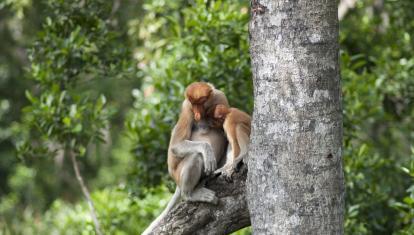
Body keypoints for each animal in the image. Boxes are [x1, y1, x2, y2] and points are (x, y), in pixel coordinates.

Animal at [142, 81, 226, 234]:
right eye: (193, 104)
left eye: (201, 102)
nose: (197, 114)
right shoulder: (186, 108)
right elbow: (176, 145)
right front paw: (208, 151)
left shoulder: (221, 98)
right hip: (178, 173)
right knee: (195, 157)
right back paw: (190, 194)